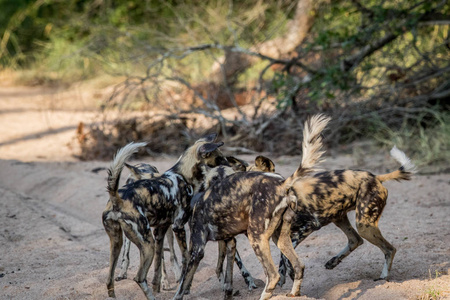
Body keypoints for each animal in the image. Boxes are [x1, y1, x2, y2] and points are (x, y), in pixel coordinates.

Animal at [102, 134, 229, 300]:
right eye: (220, 158)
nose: (230, 165)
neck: (184, 175)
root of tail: (117, 198)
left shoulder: (160, 231)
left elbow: (158, 267)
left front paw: (161, 286)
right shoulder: (178, 227)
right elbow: (186, 258)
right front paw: (185, 286)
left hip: (118, 242)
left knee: (109, 279)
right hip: (147, 243)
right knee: (139, 277)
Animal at [174, 113, 332, 298]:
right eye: (220, 159)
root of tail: (282, 184)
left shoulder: (197, 248)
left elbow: (182, 285)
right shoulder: (229, 243)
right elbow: (227, 281)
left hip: (255, 237)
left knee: (273, 275)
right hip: (279, 237)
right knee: (298, 266)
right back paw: (293, 294)